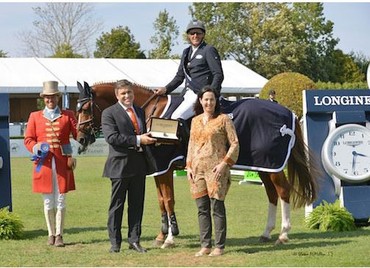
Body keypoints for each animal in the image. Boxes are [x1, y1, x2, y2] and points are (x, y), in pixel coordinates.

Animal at [76, 80, 318, 247]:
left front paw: (170, 238)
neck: (150, 114)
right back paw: (267, 233)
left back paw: (283, 234)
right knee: (271, 193)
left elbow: (169, 200)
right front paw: (162, 235)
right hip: (264, 167)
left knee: (283, 191)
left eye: (85, 109)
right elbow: (162, 201)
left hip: (272, 166)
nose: (80, 139)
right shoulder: (158, 170)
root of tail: (287, 112)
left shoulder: (165, 168)